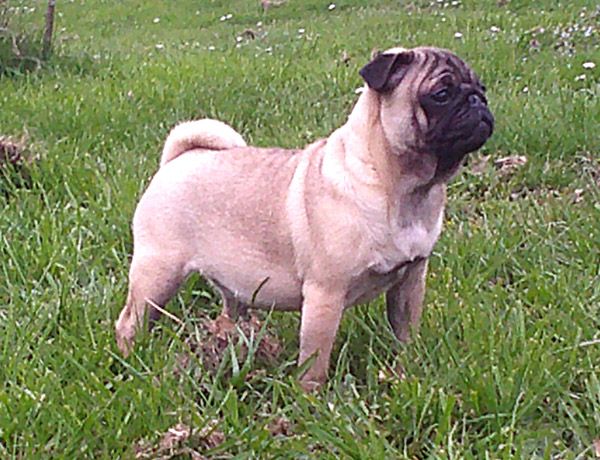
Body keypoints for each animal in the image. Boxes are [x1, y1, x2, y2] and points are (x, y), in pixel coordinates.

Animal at [115, 46, 494, 390]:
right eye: (441, 94)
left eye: (482, 87)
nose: (477, 101)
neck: (401, 188)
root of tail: (179, 158)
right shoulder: (325, 296)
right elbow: (316, 359)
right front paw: (313, 400)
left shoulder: (410, 283)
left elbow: (405, 335)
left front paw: (407, 372)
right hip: (158, 273)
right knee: (129, 321)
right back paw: (131, 360)